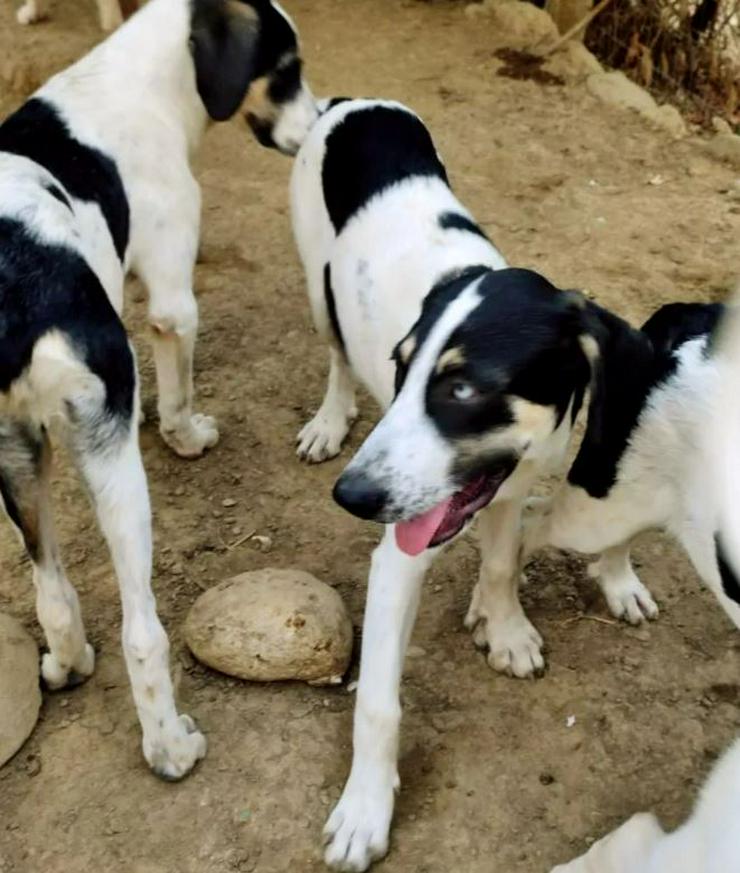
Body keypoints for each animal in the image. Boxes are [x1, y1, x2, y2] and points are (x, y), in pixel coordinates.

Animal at [0, 0, 316, 776]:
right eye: (286, 69)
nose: (322, 117)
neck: (132, 85)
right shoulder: (174, 298)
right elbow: (178, 386)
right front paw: (187, 434)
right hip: (110, 461)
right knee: (142, 629)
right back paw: (169, 746)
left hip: (17, 458)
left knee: (51, 588)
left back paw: (69, 661)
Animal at [290, 97, 740, 872]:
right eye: (402, 368)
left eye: (464, 387)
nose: (352, 498)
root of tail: (349, 103)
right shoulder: (400, 554)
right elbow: (378, 702)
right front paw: (364, 810)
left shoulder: (507, 483)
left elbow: (502, 564)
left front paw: (502, 627)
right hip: (320, 291)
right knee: (336, 355)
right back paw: (328, 419)